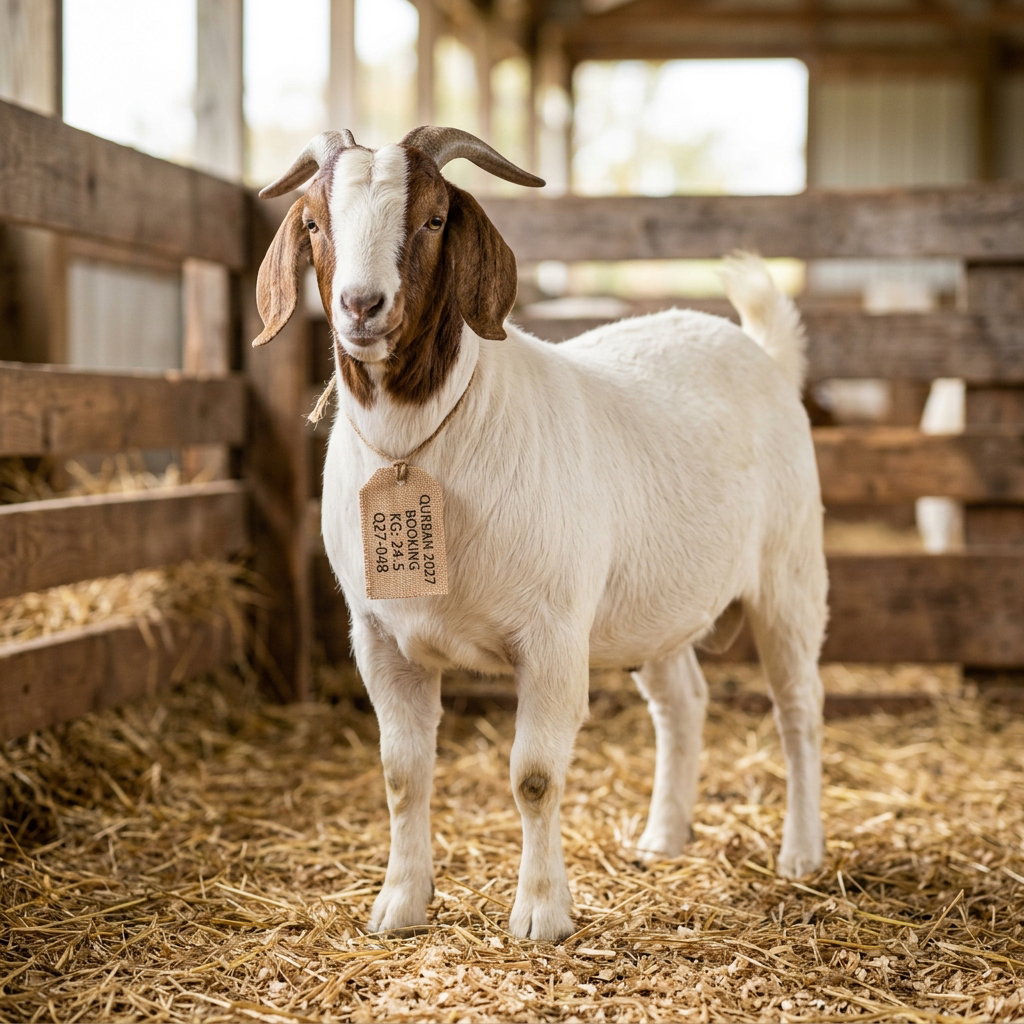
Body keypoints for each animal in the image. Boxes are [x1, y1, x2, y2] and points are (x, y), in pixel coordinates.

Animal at [252, 126, 828, 942]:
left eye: (433, 219)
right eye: (312, 222)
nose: (362, 306)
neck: (419, 444)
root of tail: (762, 351)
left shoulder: (553, 636)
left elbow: (534, 775)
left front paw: (541, 914)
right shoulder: (379, 638)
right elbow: (402, 773)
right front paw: (399, 904)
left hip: (790, 574)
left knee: (798, 706)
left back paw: (801, 853)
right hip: (649, 607)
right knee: (682, 700)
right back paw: (663, 837)